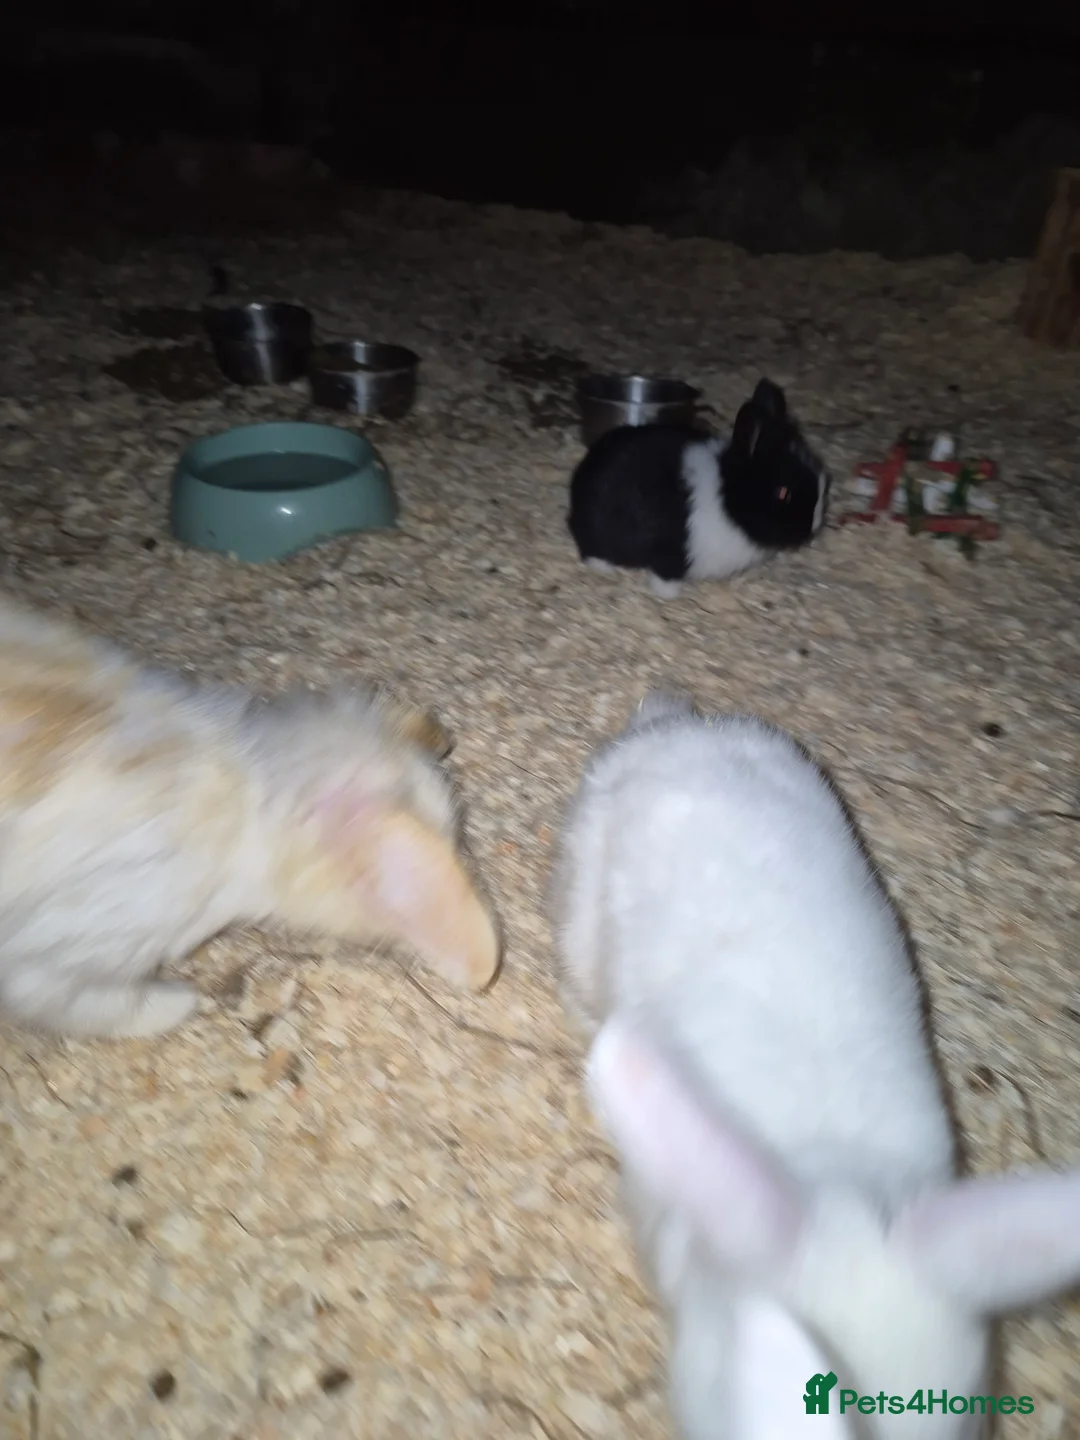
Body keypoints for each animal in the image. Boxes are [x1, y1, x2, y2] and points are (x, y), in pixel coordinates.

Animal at [567, 379, 830, 599]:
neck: (728, 497)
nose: (816, 525)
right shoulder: (671, 554)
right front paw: (670, 597)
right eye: (783, 493)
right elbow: (664, 576)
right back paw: (605, 570)